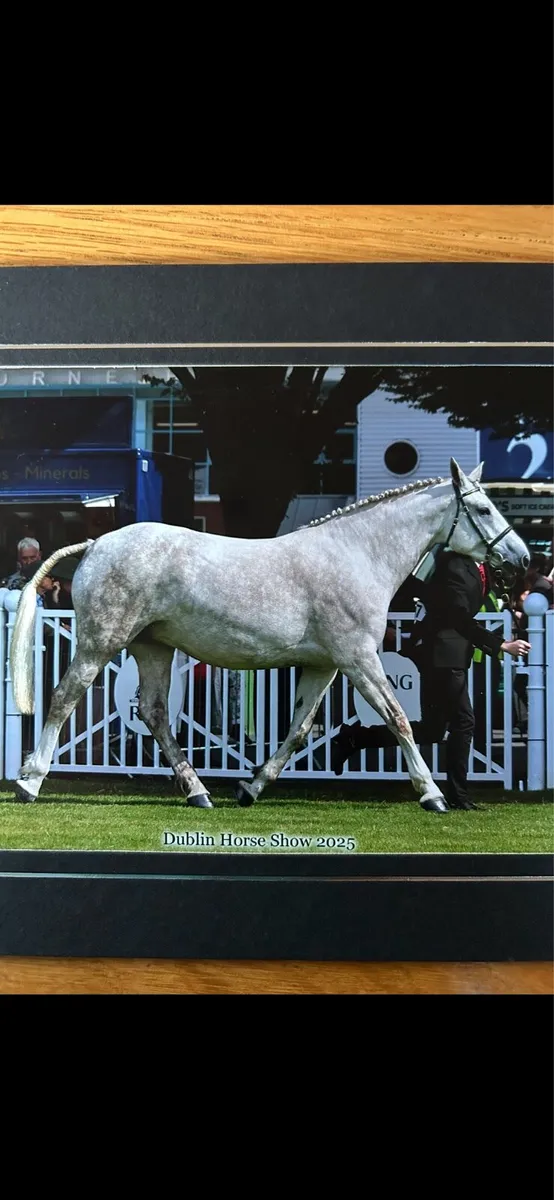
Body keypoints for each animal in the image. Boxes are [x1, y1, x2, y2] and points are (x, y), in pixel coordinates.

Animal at [9, 458, 529, 814]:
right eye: (482, 508)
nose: (522, 558)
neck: (357, 555)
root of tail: (97, 543)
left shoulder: (324, 665)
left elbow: (299, 729)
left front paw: (251, 787)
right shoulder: (359, 658)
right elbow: (398, 718)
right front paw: (432, 794)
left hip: (152, 646)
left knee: (155, 713)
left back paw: (199, 791)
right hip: (101, 643)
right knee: (64, 697)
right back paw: (30, 781)